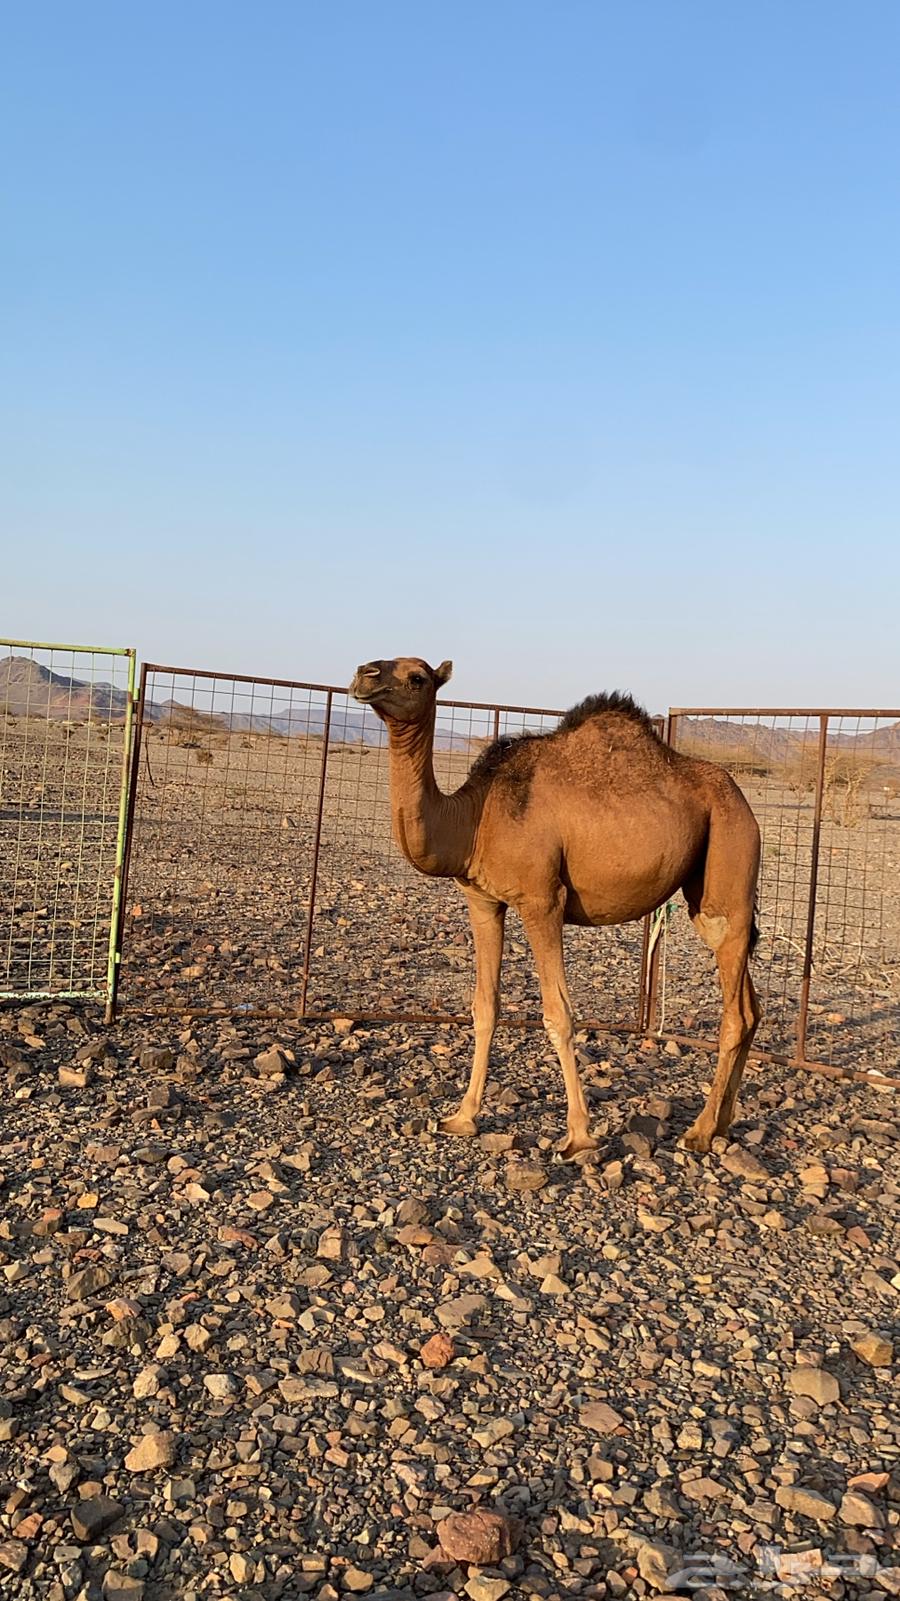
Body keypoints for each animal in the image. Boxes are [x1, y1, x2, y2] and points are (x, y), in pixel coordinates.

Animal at [350, 656, 761, 1158]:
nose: (365, 673)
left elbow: (558, 1013)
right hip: (709, 890)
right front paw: (462, 1118)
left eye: (417, 678)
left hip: (730, 856)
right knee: (750, 1009)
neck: (474, 819)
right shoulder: (483, 900)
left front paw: (579, 1136)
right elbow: (484, 1007)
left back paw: (699, 1132)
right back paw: (722, 1125)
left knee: (735, 1009)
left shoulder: (542, 900)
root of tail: (742, 800)